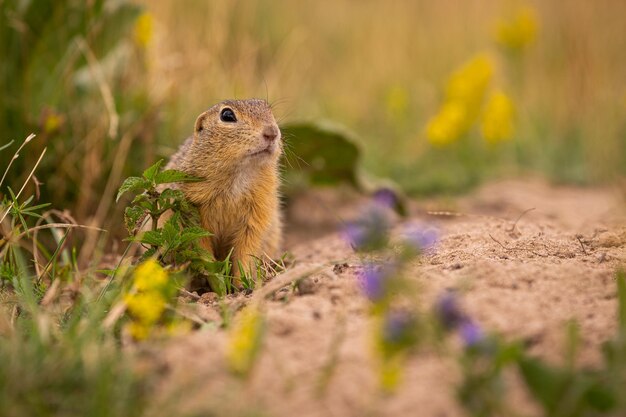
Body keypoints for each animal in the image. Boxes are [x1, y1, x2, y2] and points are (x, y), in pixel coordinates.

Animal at [166, 98, 282, 280]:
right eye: (227, 115)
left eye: (270, 111)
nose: (272, 132)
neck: (240, 174)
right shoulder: (192, 211)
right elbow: (201, 244)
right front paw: (213, 274)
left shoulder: (258, 212)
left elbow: (247, 249)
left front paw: (245, 280)